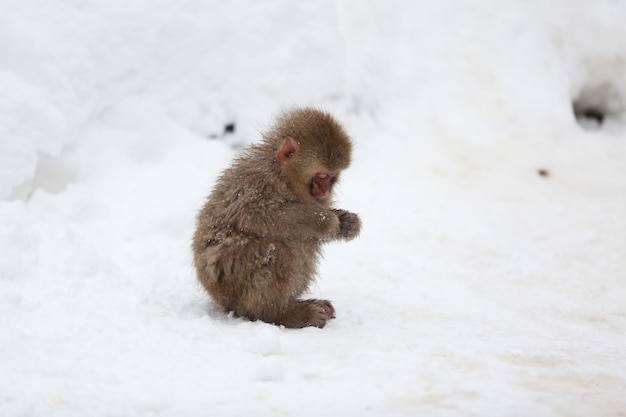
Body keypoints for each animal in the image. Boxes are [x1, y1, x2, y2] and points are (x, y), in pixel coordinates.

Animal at [194, 105, 360, 326]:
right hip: (232, 281)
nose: (324, 190)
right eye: (321, 176)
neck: (286, 176)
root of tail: (216, 296)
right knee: (278, 251)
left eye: (332, 177)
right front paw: (326, 222)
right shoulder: (258, 182)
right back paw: (280, 314)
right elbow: (252, 214)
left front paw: (348, 223)